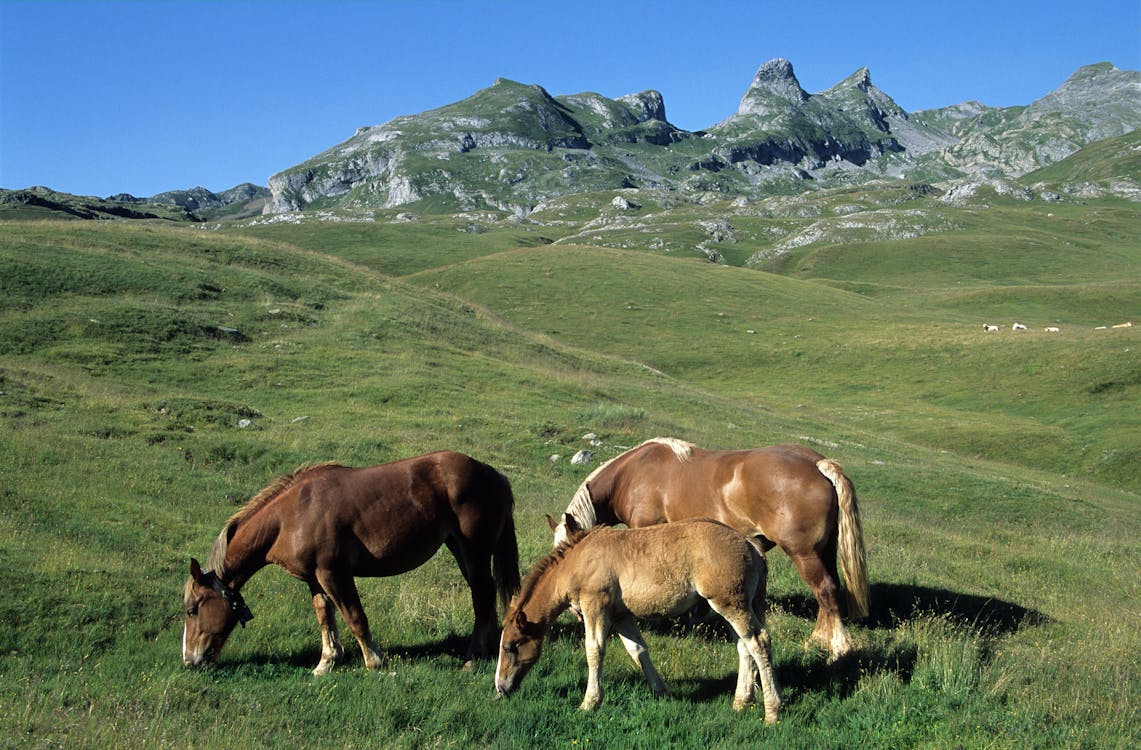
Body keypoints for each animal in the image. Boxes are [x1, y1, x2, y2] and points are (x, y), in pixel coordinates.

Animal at [180, 449, 520, 671]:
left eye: (192, 610)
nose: (189, 660)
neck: (290, 517)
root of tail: (494, 474)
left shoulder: (334, 574)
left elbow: (354, 616)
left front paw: (374, 661)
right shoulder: (315, 579)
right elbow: (325, 616)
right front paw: (327, 661)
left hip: (473, 551)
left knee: (483, 596)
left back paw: (474, 656)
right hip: (460, 549)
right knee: (484, 596)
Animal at [495, 518, 780, 721]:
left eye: (510, 647)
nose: (500, 687)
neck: (579, 561)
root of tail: (751, 546)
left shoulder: (595, 604)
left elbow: (594, 650)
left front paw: (590, 701)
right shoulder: (621, 616)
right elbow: (638, 650)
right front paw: (662, 692)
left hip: (730, 603)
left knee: (758, 642)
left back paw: (772, 710)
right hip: (735, 606)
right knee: (744, 647)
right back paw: (741, 702)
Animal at [549, 436, 862, 657]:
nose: (576, 612)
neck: (632, 474)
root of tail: (817, 464)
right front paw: (695, 617)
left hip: (804, 554)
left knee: (825, 591)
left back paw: (837, 648)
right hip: (824, 552)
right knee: (829, 592)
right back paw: (819, 639)